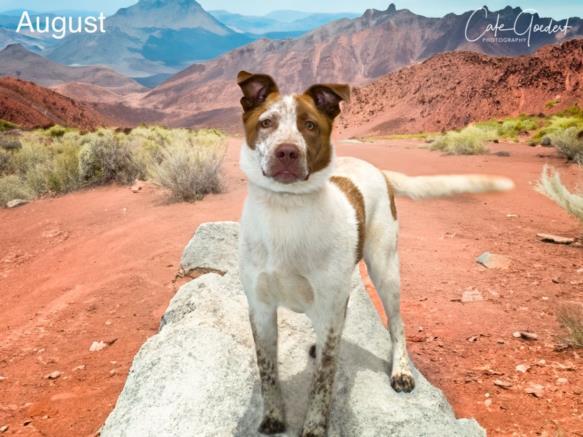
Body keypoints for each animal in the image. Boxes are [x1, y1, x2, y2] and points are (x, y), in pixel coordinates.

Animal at [235, 70, 512, 434]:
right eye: (266, 122)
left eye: (309, 125)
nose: (287, 152)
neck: (286, 209)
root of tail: (377, 169)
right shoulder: (260, 308)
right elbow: (267, 370)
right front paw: (272, 417)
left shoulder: (327, 305)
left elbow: (323, 381)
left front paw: (314, 428)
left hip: (385, 268)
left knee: (397, 323)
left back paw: (402, 371)